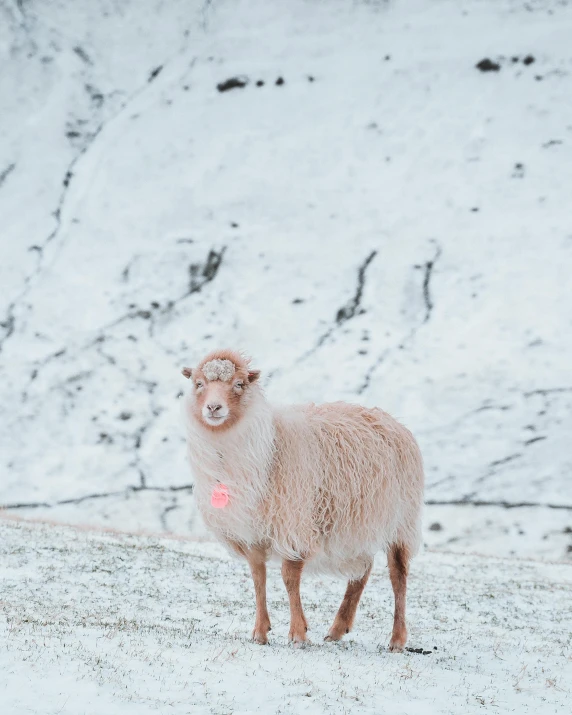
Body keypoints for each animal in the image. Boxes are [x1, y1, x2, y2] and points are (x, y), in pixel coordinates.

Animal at [181, 350, 422, 652]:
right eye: (198, 384)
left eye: (239, 384)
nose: (214, 408)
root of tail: (390, 419)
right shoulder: (250, 532)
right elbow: (258, 576)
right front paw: (260, 632)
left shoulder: (293, 521)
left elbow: (289, 577)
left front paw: (297, 633)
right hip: (357, 523)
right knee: (363, 570)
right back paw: (338, 628)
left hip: (402, 521)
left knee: (398, 576)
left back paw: (397, 639)